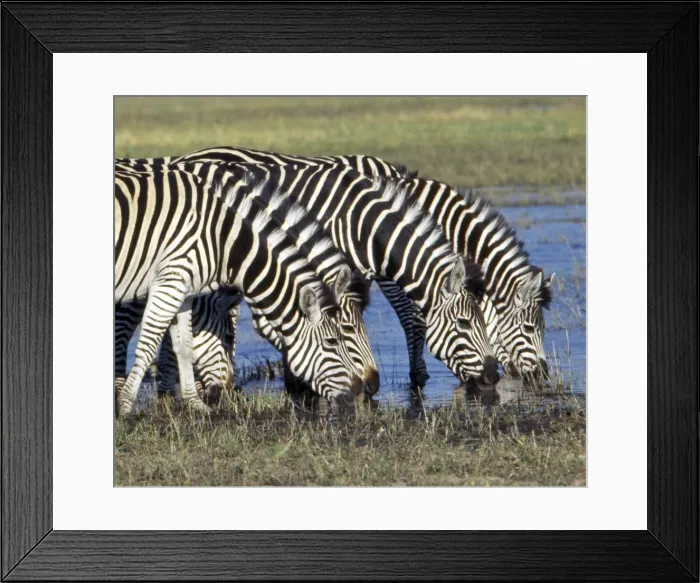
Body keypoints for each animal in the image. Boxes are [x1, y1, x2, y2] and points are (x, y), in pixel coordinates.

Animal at [115, 162, 379, 405]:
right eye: (334, 340)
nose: (364, 390)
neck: (223, 239)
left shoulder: (183, 291)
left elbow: (184, 346)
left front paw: (194, 405)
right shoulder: (169, 281)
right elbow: (147, 346)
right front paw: (126, 405)